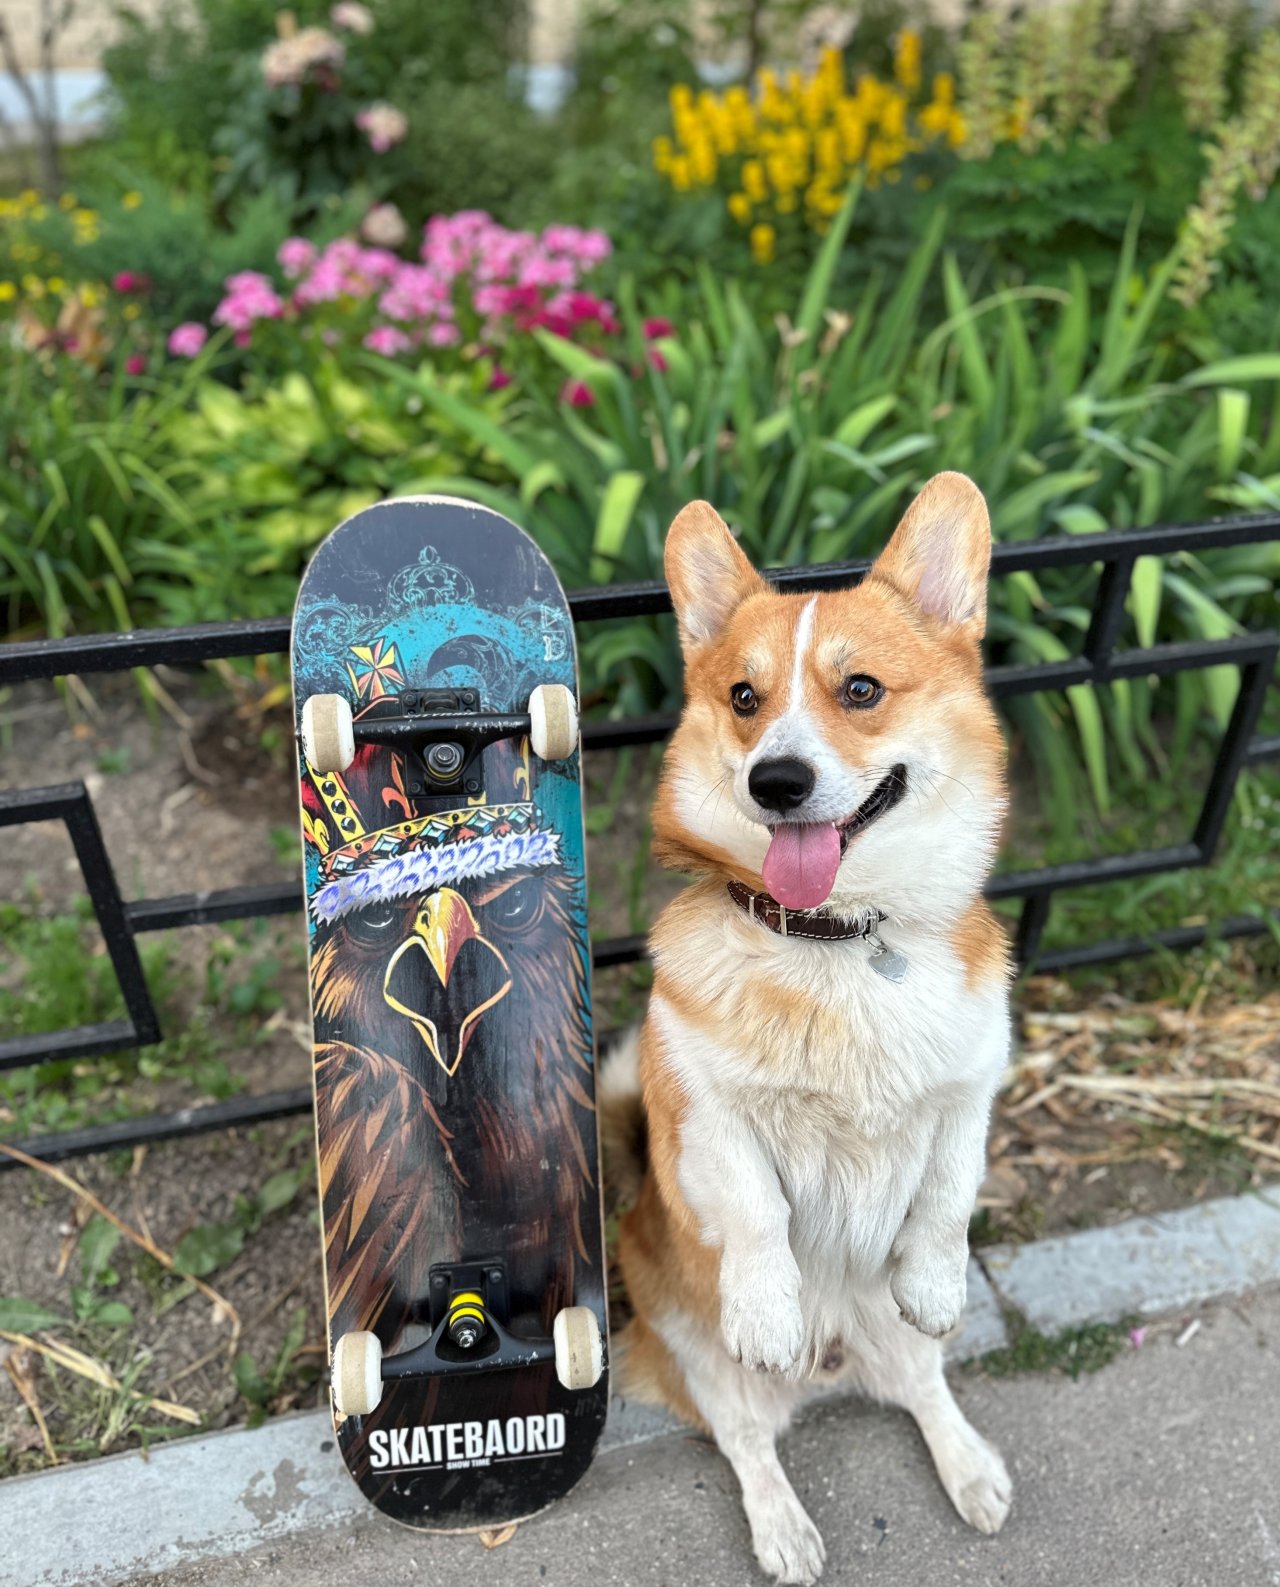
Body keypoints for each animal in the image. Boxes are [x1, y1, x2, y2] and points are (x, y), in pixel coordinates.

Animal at [603, 472, 1013, 1584]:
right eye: (743, 699)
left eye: (860, 689)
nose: (774, 782)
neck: (837, 942)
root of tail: (837, 1364)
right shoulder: (703, 1111)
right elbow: (756, 1211)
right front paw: (768, 1310)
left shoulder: (970, 1088)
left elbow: (946, 1194)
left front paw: (936, 1279)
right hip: (700, 1359)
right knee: (750, 1442)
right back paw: (783, 1525)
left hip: (899, 1346)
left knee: (923, 1387)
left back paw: (971, 1467)